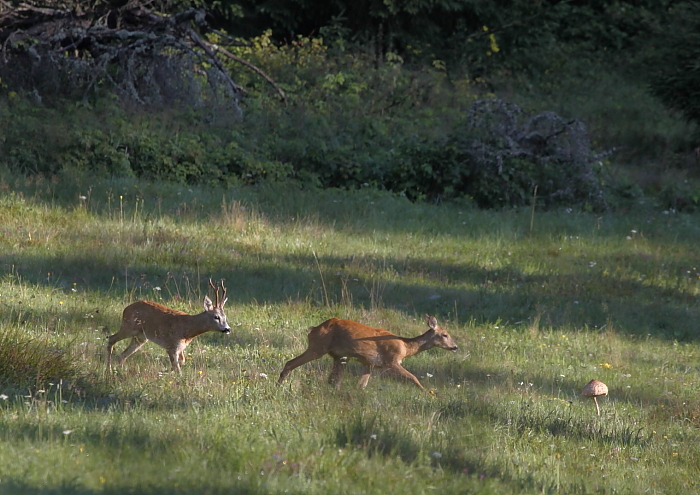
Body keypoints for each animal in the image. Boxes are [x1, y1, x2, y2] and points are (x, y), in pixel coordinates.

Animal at [278, 316, 460, 394]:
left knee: (333, 381)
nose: (455, 347)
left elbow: (362, 385)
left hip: (340, 357)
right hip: (318, 347)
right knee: (290, 363)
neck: (406, 347)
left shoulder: (369, 364)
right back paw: (278, 385)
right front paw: (429, 394)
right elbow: (413, 378)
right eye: (445, 334)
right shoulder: (391, 361)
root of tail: (313, 329)